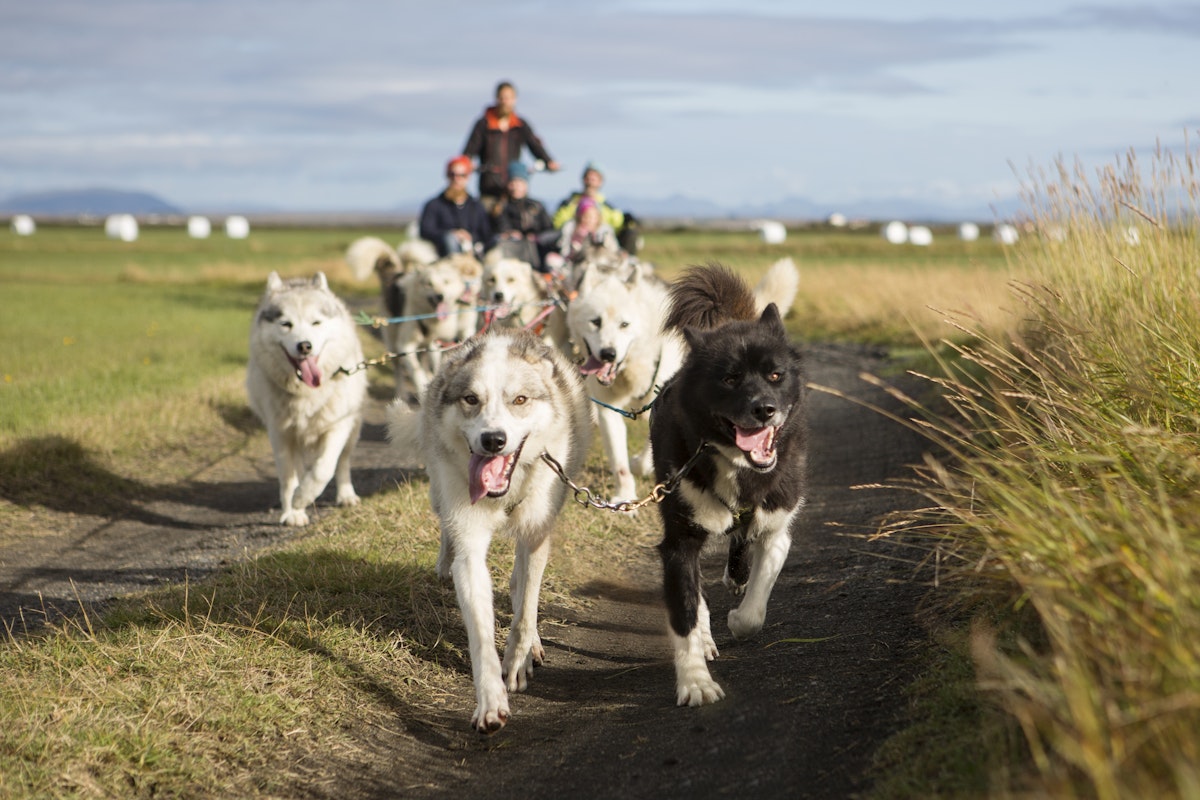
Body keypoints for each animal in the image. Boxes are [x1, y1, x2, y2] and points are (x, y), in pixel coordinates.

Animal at [244, 272, 364, 527]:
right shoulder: (280, 433)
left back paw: (346, 495)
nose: (305, 346)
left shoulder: (338, 426)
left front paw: (302, 498)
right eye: (286, 324)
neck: (307, 393)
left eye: (316, 323)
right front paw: (293, 511)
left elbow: (324, 469)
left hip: (354, 427)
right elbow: (288, 477)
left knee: (343, 461)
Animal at [391, 328, 592, 734]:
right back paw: (443, 562)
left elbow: (525, 608)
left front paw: (517, 660)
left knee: (519, 585)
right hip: (439, 493)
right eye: (471, 399)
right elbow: (481, 636)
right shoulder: (470, 549)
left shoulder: (535, 535)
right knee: (447, 533)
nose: (493, 440)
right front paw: (490, 703)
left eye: (520, 400)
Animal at [648, 263, 806, 705]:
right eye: (730, 379)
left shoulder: (778, 525)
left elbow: (758, 599)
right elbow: (685, 612)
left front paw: (739, 616)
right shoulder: (678, 544)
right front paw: (695, 682)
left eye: (775, 375)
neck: (739, 468)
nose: (764, 409)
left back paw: (735, 578)